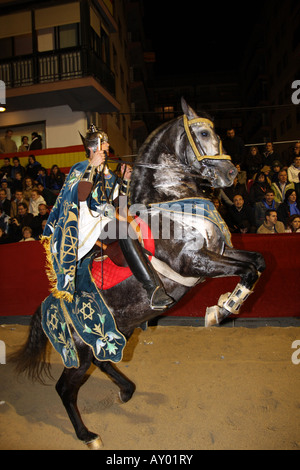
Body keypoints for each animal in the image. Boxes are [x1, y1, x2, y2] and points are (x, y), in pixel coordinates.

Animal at [12, 99, 264, 448]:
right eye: (202, 133)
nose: (230, 173)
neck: (172, 201)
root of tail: (48, 305)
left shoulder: (220, 253)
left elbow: (257, 263)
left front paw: (227, 304)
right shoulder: (192, 261)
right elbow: (249, 270)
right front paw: (221, 309)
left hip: (116, 333)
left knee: (103, 361)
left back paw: (127, 391)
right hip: (81, 349)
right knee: (65, 389)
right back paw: (87, 435)